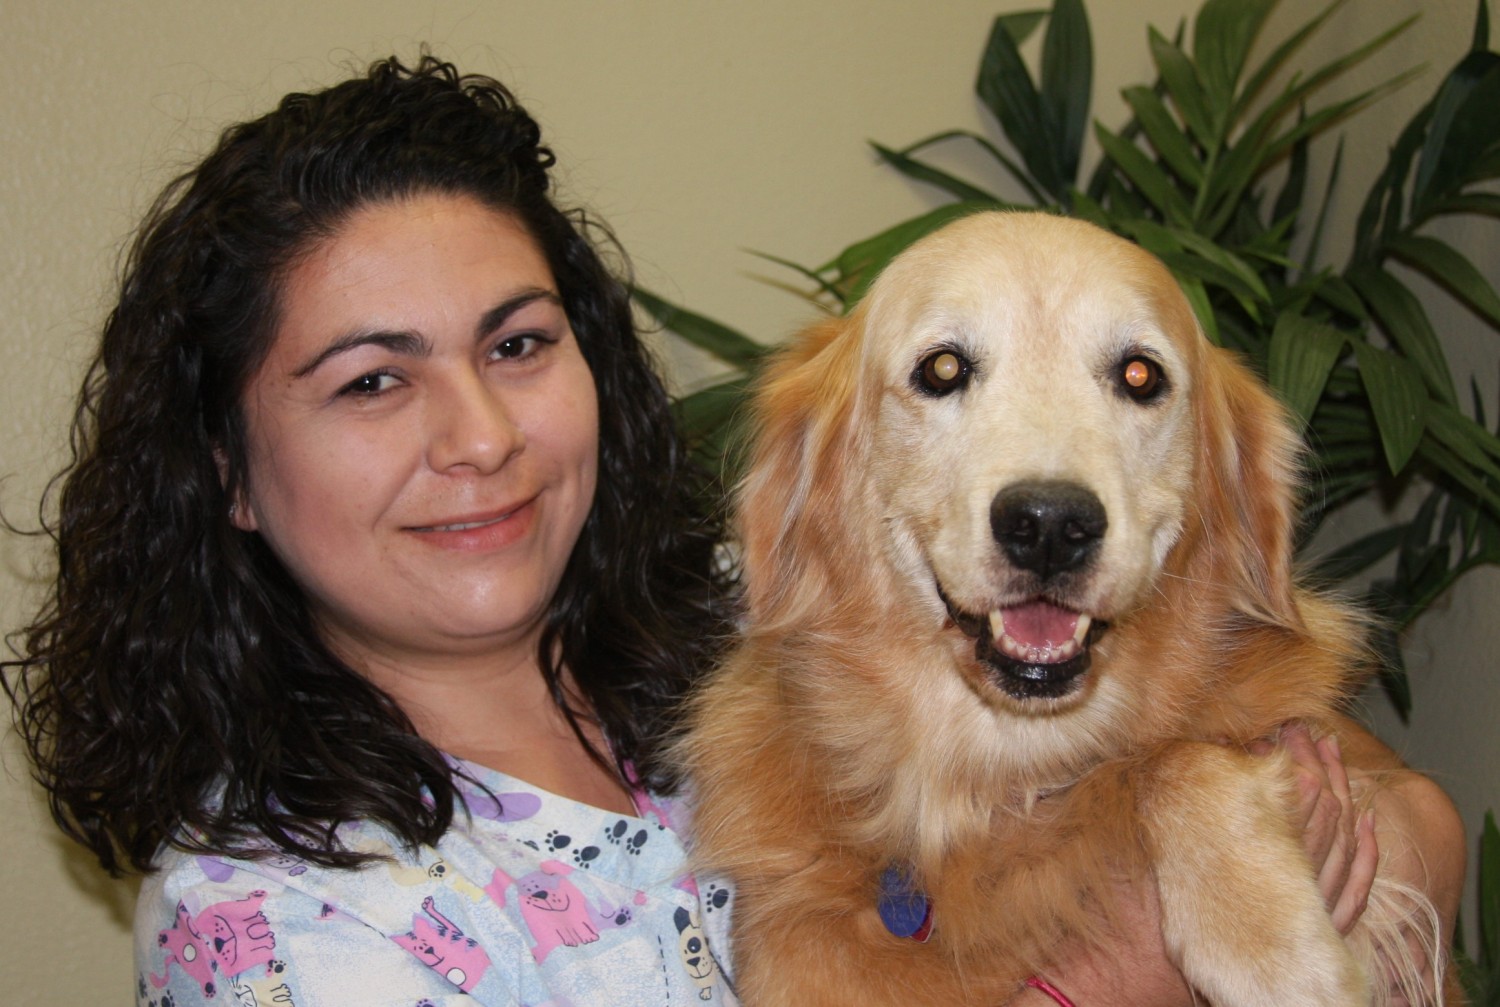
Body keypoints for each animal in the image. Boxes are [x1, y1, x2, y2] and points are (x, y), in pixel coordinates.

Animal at [687, 213, 1446, 1007]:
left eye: (1141, 375)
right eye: (942, 369)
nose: (1050, 524)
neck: (1002, 776)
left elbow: (1173, 757)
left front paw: (1267, 943)